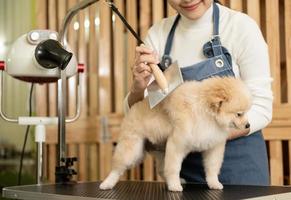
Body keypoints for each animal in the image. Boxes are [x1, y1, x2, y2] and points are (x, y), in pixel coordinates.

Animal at [99, 77, 252, 192]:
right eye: (239, 114)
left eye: (246, 112)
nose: (248, 125)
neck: (206, 114)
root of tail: (132, 109)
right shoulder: (177, 143)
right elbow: (173, 167)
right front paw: (174, 186)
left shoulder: (213, 146)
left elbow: (212, 168)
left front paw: (214, 183)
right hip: (133, 149)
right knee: (118, 167)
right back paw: (107, 183)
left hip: (160, 151)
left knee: (161, 170)